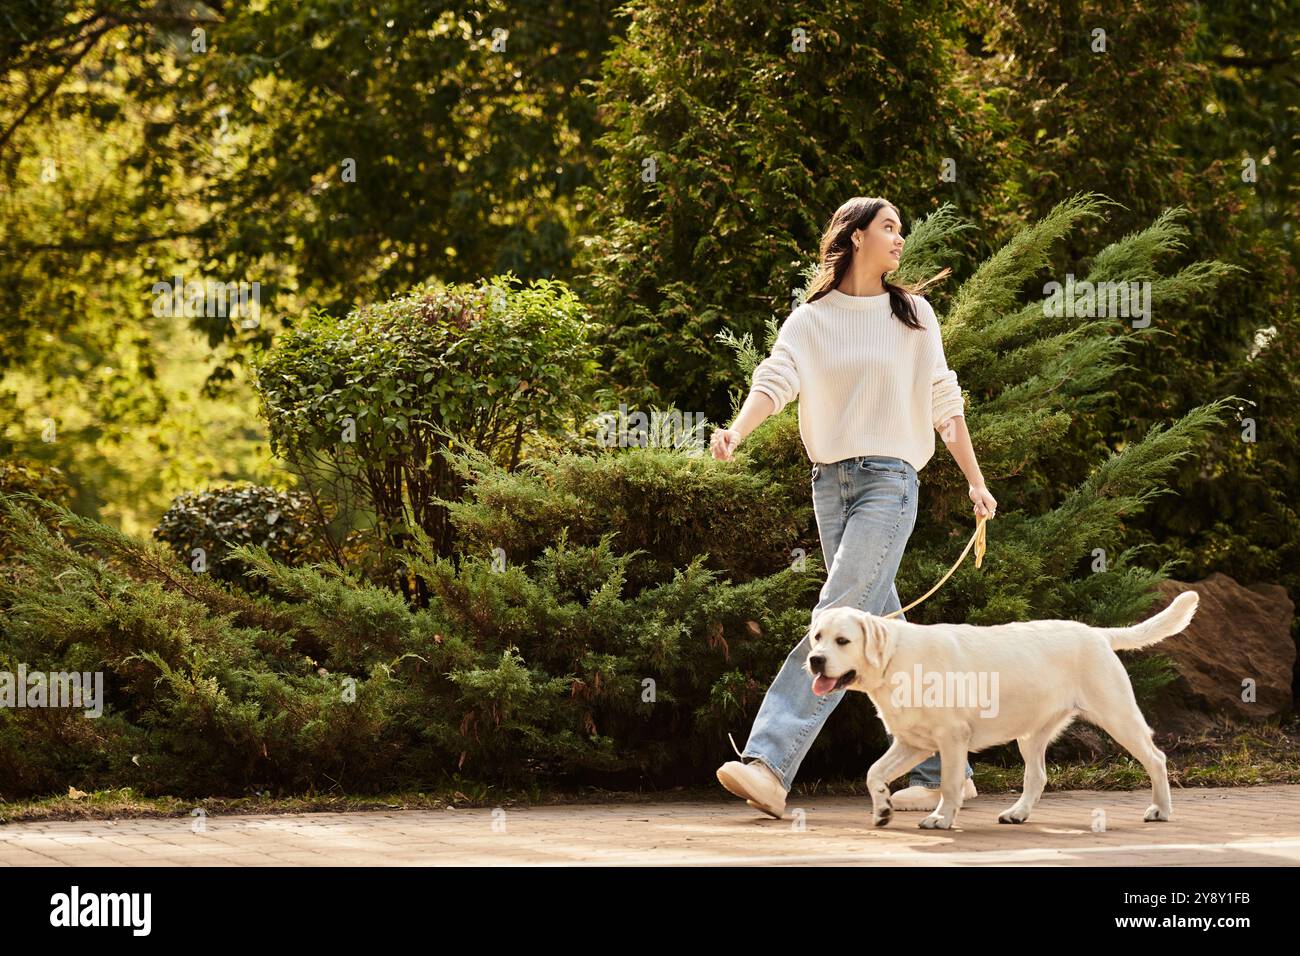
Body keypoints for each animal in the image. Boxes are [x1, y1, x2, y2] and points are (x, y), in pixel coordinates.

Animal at [806, 590, 1201, 832]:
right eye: (817, 637)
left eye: (842, 641)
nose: (814, 660)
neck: (894, 660)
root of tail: (1097, 633)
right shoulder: (914, 743)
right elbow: (873, 772)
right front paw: (882, 809)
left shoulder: (952, 738)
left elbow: (950, 783)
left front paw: (941, 818)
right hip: (1031, 733)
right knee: (1037, 776)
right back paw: (1018, 813)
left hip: (1118, 715)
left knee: (1156, 758)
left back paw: (1161, 810)